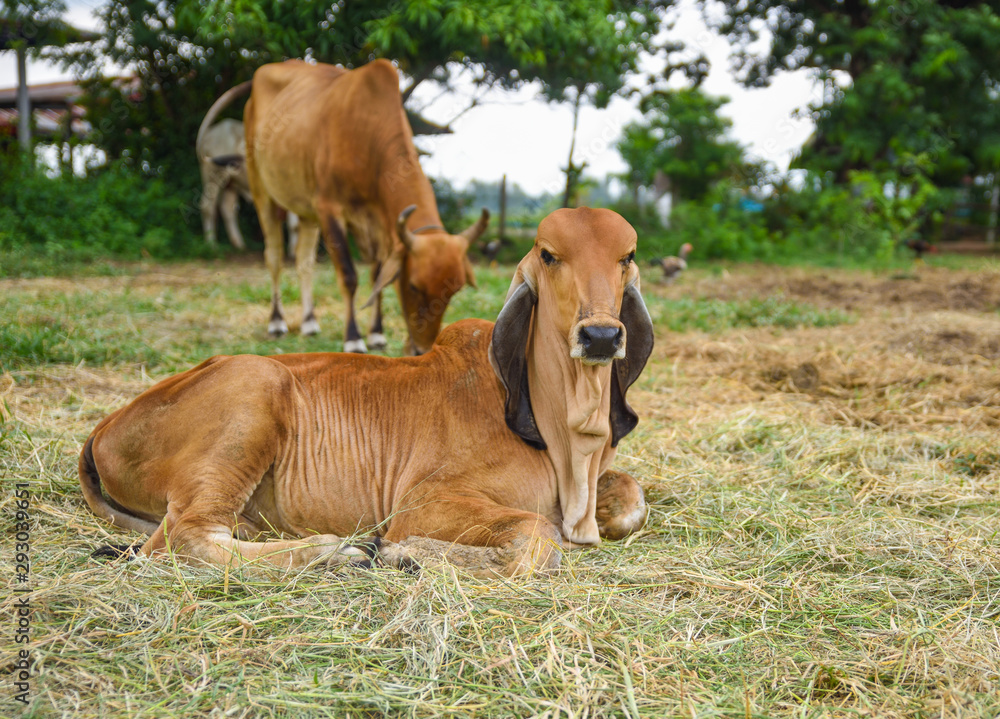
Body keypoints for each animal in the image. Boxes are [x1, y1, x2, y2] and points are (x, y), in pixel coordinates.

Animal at [80, 208, 656, 580]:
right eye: (549, 255)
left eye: (627, 255)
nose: (601, 335)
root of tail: (104, 428)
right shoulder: (424, 501)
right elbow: (538, 538)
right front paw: (402, 554)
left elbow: (633, 502)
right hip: (254, 390)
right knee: (182, 539)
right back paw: (337, 553)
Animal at [234, 59, 488, 354]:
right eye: (413, 286)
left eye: (454, 291)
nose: (421, 350)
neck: (367, 137)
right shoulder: (329, 209)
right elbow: (349, 275)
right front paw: (354, 338)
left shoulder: (378, 222)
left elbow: (376, 275)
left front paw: (376, 334)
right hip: (262, 192)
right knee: (273, 256)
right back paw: (276, 322)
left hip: (305, 209)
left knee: (304, 260)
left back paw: (309, 322)